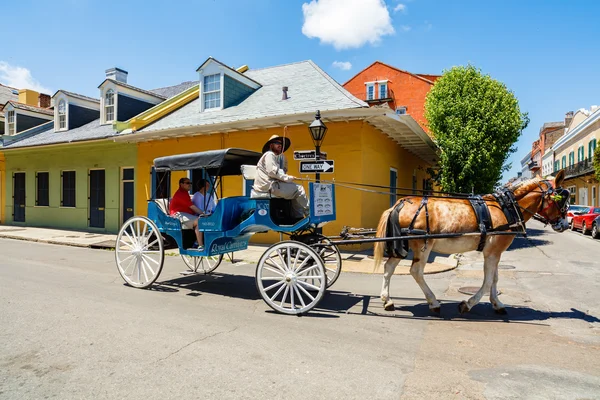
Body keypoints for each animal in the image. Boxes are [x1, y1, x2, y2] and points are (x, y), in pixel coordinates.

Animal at [376, 170, 568, 314]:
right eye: (562, 199)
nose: (565, 224)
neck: (507, 207)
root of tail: (400, 204)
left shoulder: (495, 252)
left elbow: (495, 278)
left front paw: (497, 304)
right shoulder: (492, 252)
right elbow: (488, 281)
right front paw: (468, 304)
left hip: (403, 244)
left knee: (389, 267)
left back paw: (387, 300)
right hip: (422, 246)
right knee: (416, 271)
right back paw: (433, 302)